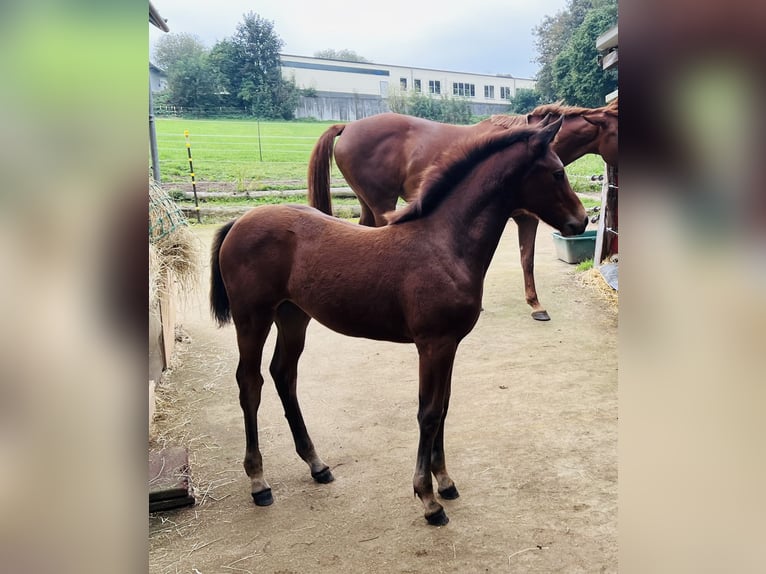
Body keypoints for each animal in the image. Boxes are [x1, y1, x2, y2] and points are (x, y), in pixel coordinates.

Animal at [210, 116, 588, 528]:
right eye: (557, 172)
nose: (582, 220)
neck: (444, 244)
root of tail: (239, 221)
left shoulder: (450, 345)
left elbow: (444, 407)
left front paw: (445, 482)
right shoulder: (432, 345)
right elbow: (428, 413)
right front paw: (428, 499)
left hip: (293, 316)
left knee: (284, 375)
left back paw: (316, 464)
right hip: (253, 318)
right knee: (250, 383)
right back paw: (258, 481)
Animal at [306, 100, 616, 322]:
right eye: (557, 174)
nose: (582, 220)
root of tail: (347, 126)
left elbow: (525, 259)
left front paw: (534, 304)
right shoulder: (525, 216)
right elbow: (525, 259)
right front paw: (533, 304)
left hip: (367, 202)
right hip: (382, 203)